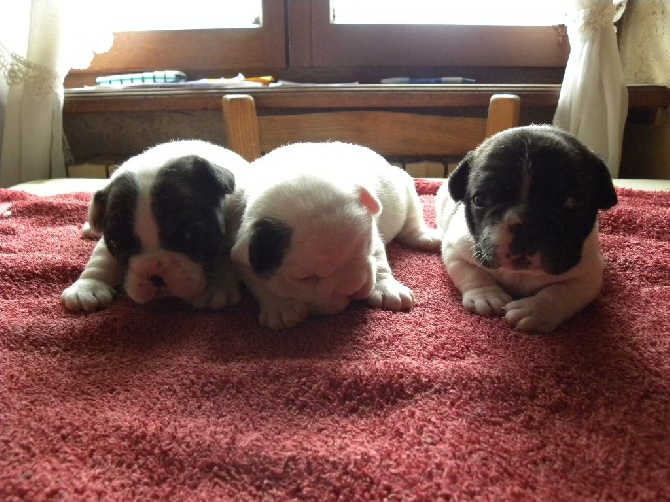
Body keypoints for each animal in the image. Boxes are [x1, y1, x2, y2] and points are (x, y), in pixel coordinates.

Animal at [228, 141, 444, 330]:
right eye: (307, 278)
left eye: (365, 245)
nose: (353, 290)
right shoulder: (240, 253)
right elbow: (257, 282)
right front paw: (280, 308)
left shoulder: (374, 234)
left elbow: (379, 259)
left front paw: (386, 288)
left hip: (405, 184)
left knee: (412, 221)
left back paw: (426, 237)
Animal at [436, 124, 620, 334]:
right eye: (480, 199)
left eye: (576, 202)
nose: (526, 227)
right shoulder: (456, 250)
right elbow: (471, 272)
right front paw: (486, 295)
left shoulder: (588, 273)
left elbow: (562, 291)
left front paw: (536, 310)